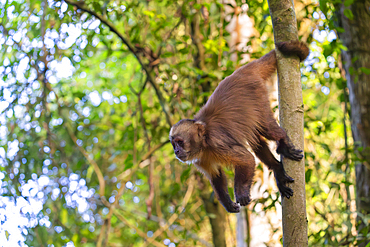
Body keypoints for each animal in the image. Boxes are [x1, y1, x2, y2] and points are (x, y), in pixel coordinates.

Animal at [171, 40, 310, 212]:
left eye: (180, 142)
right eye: (174, 144)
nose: (176, 151)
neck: (204, 142)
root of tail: (241, 72)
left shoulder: (217, 143)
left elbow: (247, 160)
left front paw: (241, 192)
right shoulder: (199, 158)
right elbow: (217, 176)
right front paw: (227, 203)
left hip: (257, 95)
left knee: (267, 128)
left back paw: (283, 144)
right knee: (256, 140)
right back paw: (277, 169)